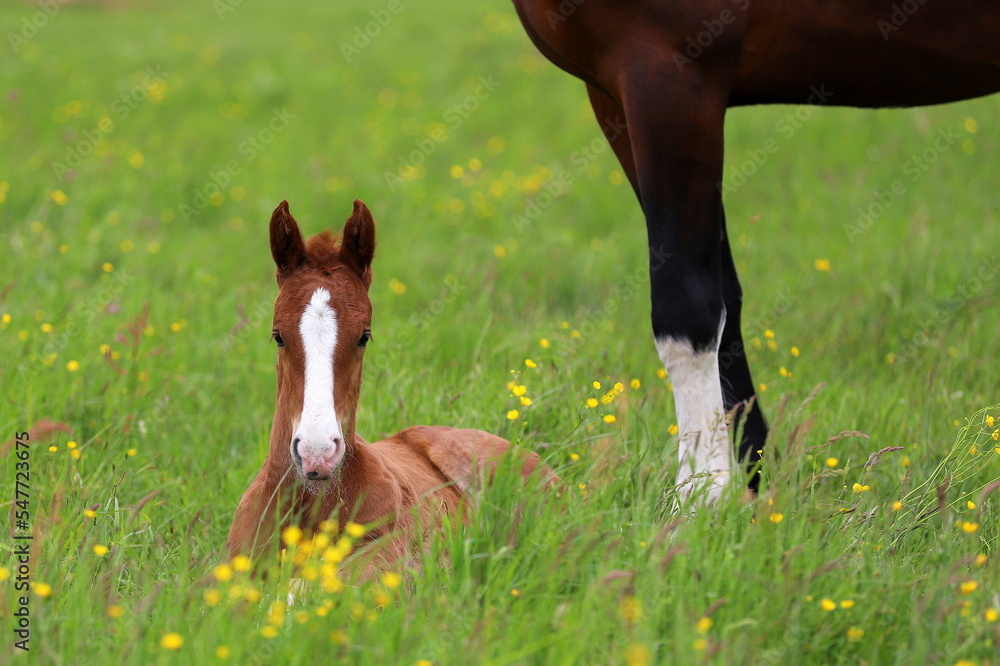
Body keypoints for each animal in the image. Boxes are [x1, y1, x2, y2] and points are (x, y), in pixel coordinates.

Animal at [510, 0, 1000, 502]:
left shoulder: (670, 73)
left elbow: (687, 310)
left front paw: (701, 498)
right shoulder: (612, 95)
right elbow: (726, 303)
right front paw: (749, 485)